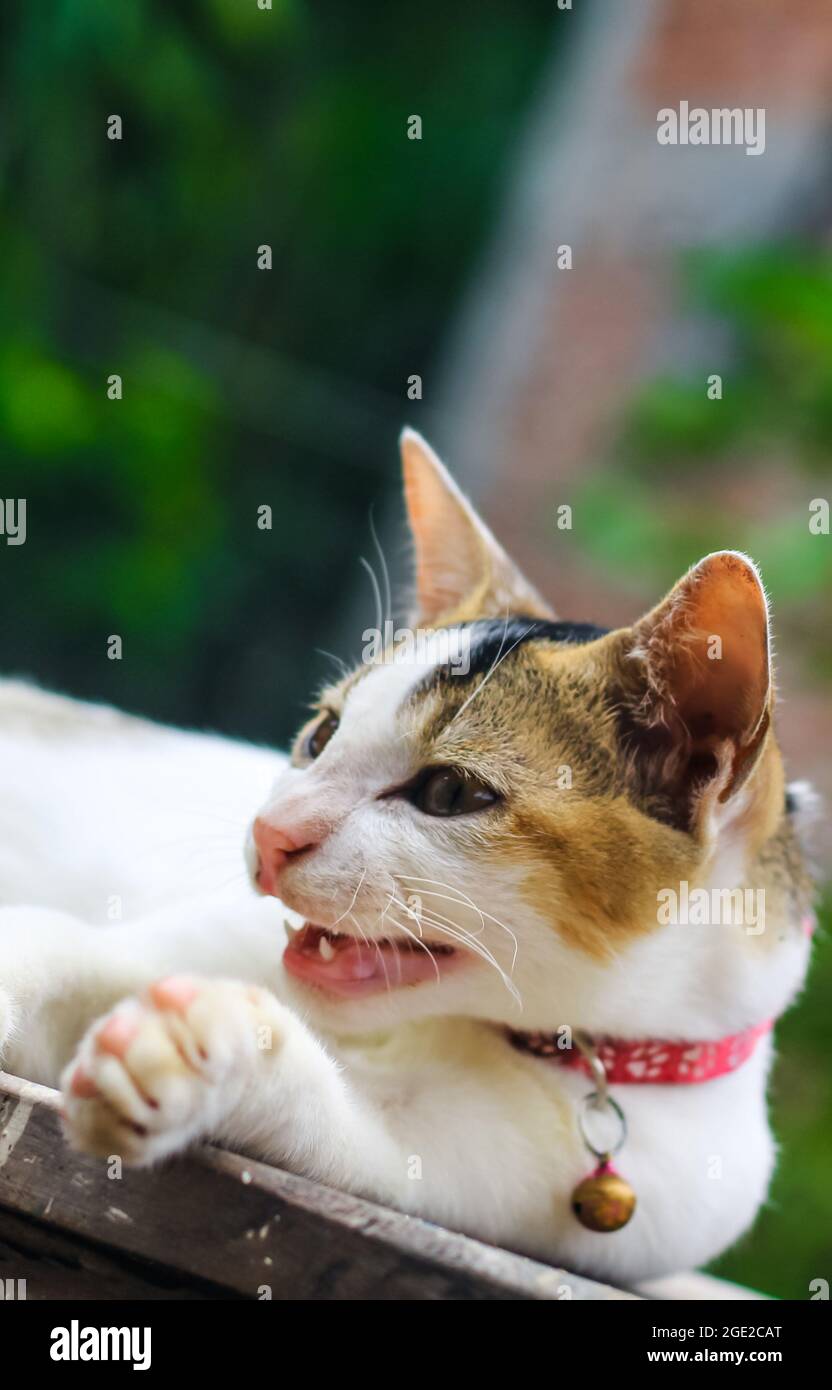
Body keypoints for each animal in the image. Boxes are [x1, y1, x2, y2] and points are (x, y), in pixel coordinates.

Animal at [0, 428, 816, 1284]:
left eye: (449, 793)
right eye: (322, 735)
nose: (270, 830)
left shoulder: (485, 1179)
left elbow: (340, 1133)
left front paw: (200, 1054)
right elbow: (63, 944)